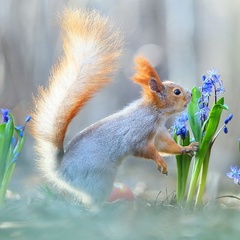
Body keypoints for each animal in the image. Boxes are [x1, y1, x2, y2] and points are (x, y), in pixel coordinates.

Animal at [30, 8, 198, 208]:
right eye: (177, 92)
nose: (191, 95)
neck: (154, 113)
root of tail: (60, 170)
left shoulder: (158, 134)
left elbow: (167, 146)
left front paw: (186, 148)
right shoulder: (139, 133)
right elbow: (145, 150)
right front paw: (160, 161)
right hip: (100, 179)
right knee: (93, 203)